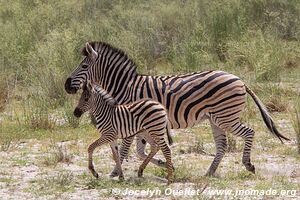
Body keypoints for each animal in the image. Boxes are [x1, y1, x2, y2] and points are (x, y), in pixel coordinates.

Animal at [64, 41, 290, 176]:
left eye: (84, 66)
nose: (66, 85)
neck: (126, 86)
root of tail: (240, 79)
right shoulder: (138, 122)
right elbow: (139, 151)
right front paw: (164, 165)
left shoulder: (130, 120)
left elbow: (128, 149)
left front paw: (115, 172)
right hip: (216, 118)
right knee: (222, 145)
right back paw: (209, 172)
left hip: (226, 116)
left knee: (249, 132)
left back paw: (248, 164)